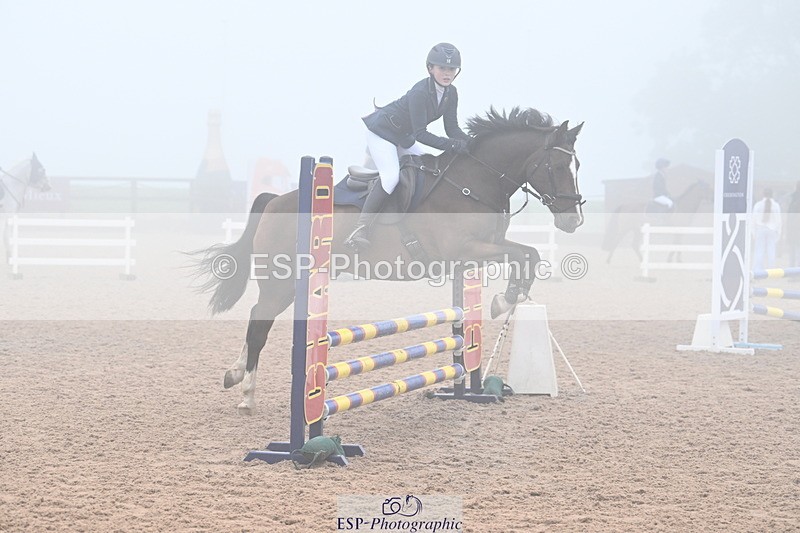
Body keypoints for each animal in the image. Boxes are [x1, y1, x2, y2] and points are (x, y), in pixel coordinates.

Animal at [192, 107, 585, 413]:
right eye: (556, 165)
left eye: (577, 164)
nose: (573, 221)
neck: (473, 182)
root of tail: (274, 200)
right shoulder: (465, 249)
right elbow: (524, 254)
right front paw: (504, 299)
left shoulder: (485, 247)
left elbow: (529, 255)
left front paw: (505, 299)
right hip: (281, 279)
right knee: (260, 324)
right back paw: (246, 394)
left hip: (289, 284)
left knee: (257, 316)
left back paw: (234, 374)